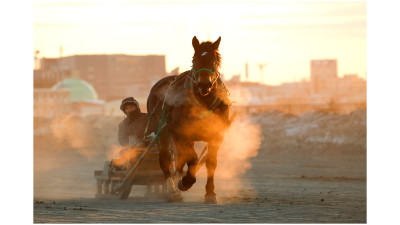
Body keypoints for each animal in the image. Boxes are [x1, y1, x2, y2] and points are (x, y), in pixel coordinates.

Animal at [147, 36, 230, 203]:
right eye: (195, 59)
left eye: (214, 60)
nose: (204, 84)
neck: (203, 103)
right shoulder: (183, 133)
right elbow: (193, 157)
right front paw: (185, 181)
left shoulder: (217, 135)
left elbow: (211, 162)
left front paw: (210, 193)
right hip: (163, 131)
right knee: (166, 159)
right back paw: (171, 190)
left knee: (179, 159)